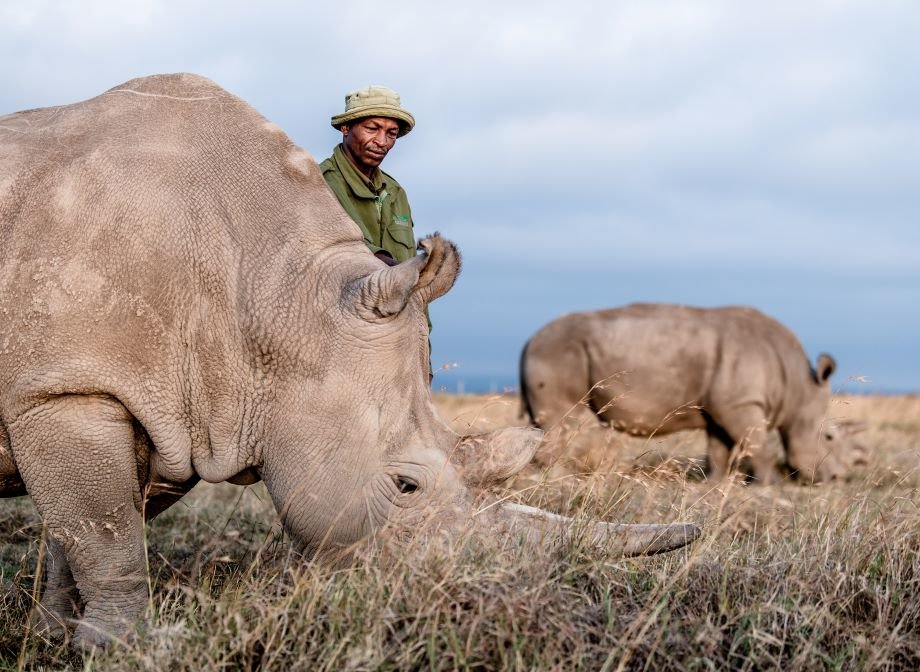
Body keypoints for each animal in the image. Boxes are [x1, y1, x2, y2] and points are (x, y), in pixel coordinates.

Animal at [0, 75, 699, 650]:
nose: (457, 594)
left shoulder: (173, 406)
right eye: (405, 487)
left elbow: (86, 526)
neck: (272, 292)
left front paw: (58, 634)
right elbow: (107, 529)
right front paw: (131, 645)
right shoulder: (66, 391)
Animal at [520, 303, 867, 484]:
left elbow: (719, 448)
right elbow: (757, 445)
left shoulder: (723, 407)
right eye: (829, 437)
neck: (797, 387)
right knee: (561, 419)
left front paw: (716, 483)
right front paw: (771, 486)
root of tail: (528, 341)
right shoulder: (741, 405)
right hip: (558, 352)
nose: (838, 479)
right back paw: (556, 477)